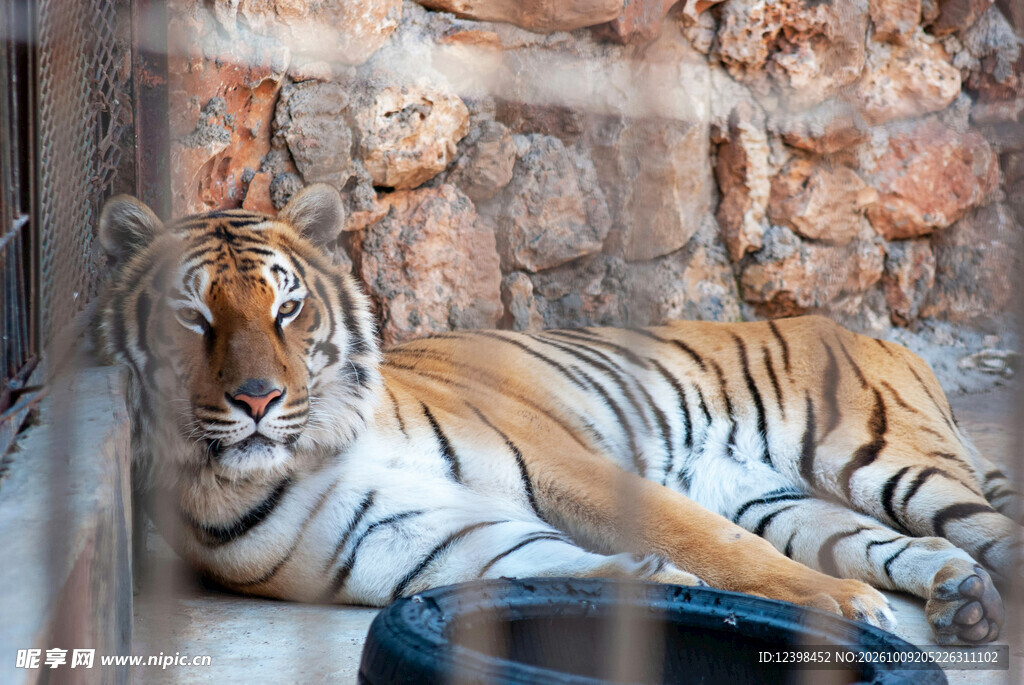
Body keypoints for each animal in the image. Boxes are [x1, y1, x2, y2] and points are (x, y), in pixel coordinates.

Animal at [97, 183, 1020, 646]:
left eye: (286, 309)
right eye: (193, 318)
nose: (259, 399)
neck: (314, 446)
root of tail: (866, 331)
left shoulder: (563, 460)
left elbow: (709, 542)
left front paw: (830, 606)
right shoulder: (416, 536)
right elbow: (535, 567)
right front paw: (656, 584)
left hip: (887, 459)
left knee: (981, 527)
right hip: (788, 501)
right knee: (899, 542)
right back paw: (960, 596)